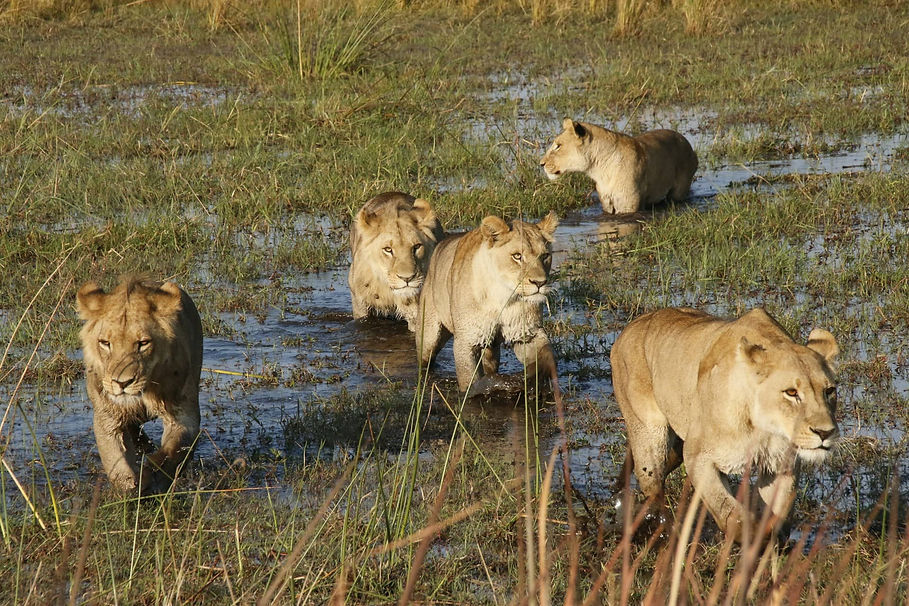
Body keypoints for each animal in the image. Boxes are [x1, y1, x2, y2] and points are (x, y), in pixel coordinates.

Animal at [76, 277, 203, 493]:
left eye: (143, 343)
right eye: (105, 343)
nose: (122, 382)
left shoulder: (184, 415)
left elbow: (174, 453)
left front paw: (153, 473)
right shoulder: (107, 418)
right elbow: (116, 462)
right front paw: (131, 488)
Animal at [416, 211, 560, 394]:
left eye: (545, 256)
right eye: (517, 256)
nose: (540, 283)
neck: (504, 297)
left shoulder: (527, 333)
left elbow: (546, 354)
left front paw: (534, 375)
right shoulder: (466, 341)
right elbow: (469, 381)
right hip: (428, 337)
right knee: (426, 359)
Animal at [540, 118, 698, 214]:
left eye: (558, 146)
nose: (541, 163)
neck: (600, 171)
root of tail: (687, 142)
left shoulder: (628, 203)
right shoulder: (606, 203)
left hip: (679, 191)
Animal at [610, 307, 839, 541]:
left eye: (829, 390)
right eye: (791, 392)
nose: (825, 432)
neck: (763, 427)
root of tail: (632, 325)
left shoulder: (781, 463)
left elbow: (776, 515)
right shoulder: (698, 456)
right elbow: (731, 515)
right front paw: (749, 536)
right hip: (648, 432)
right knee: (652, 486)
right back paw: (668, 533)